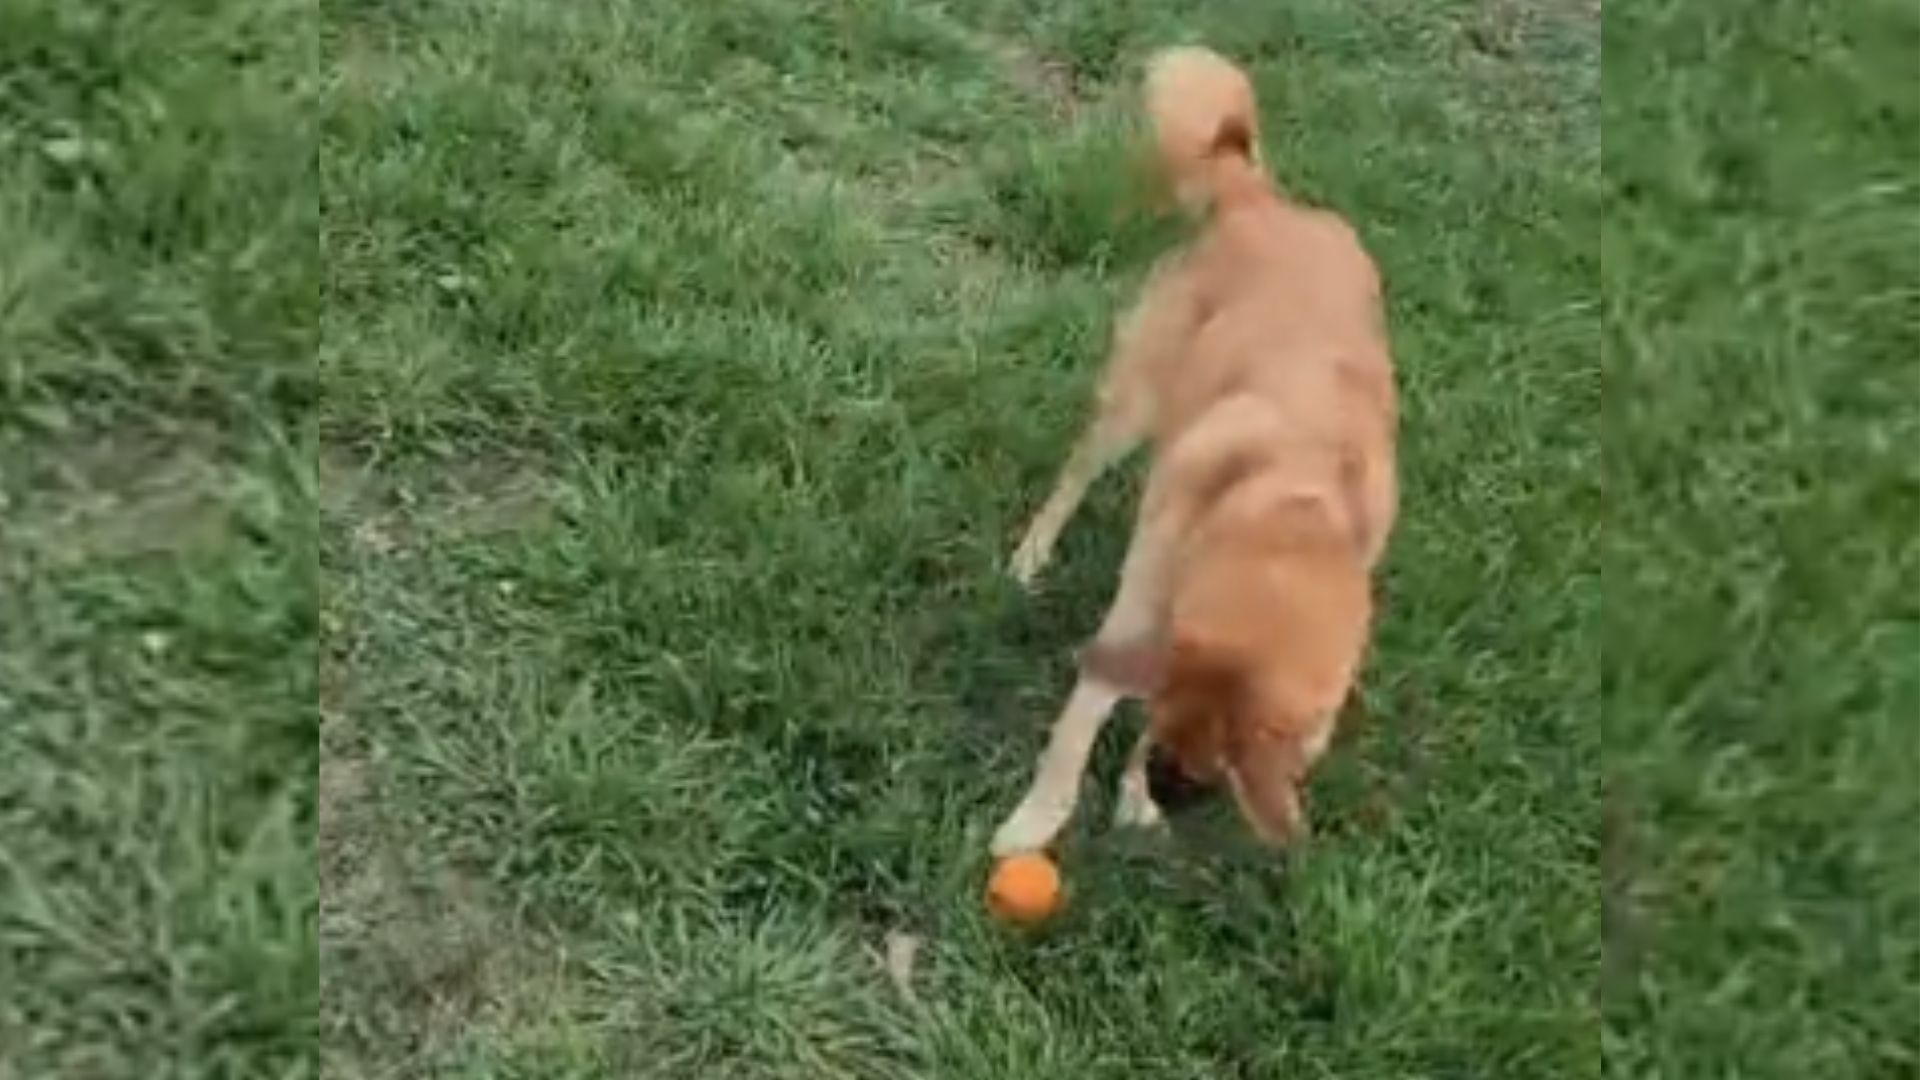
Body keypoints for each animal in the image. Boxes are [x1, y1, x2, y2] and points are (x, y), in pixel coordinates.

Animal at [990, 48, 1397, 857]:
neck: (1294, 506)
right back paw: (1030, 557)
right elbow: (1074, 733)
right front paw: (1034, 823)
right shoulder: (1136, 621)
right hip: (1133, 402)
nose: (1168, 797)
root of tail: (1262, 201)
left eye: (1213, 771)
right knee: (1073, 476)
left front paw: (1130, 794)